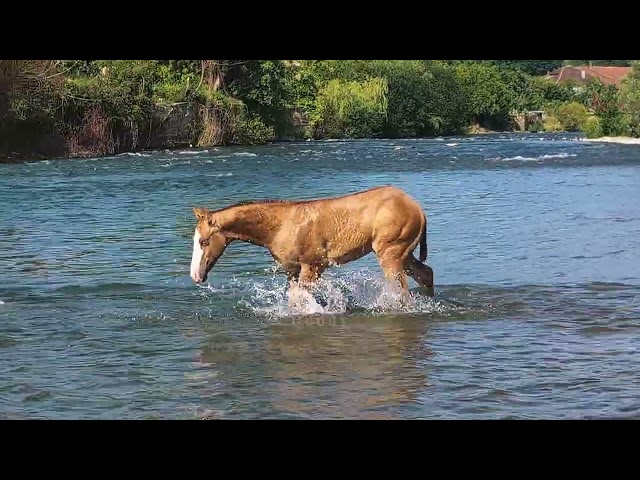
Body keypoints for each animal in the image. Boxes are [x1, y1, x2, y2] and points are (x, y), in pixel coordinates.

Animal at [189, 185, 435, 308]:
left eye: (203, 241)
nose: (195, 276)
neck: (277, 228)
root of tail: (419, 208)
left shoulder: (313, 266)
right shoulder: (291, 270)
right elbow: (294, 301)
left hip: (390, 253)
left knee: (402, 292)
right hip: (404, 254)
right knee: (426, 274)